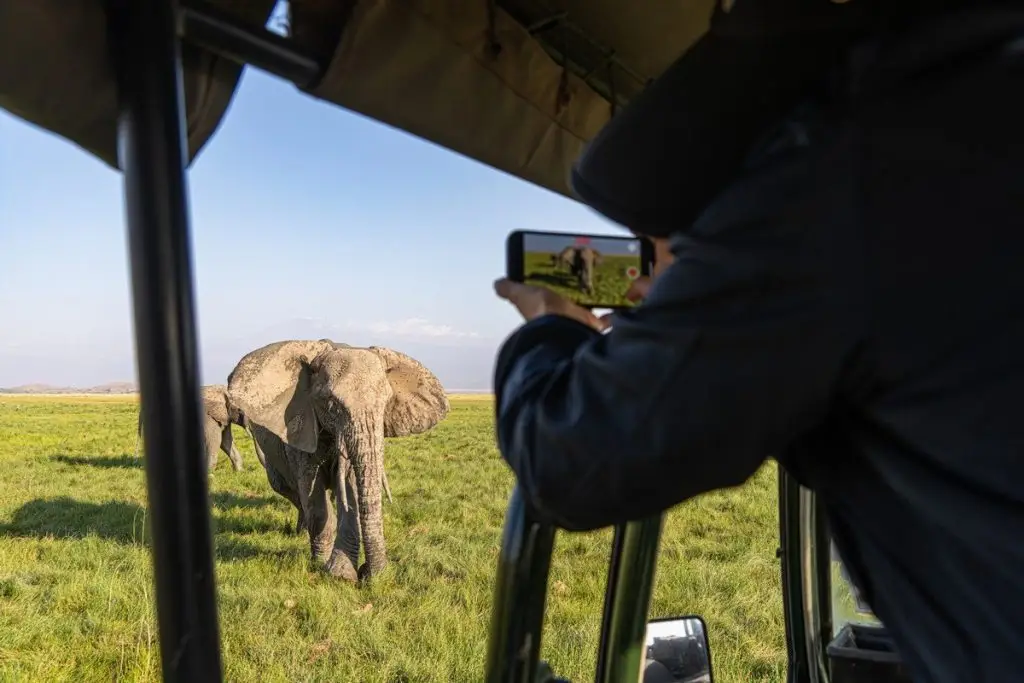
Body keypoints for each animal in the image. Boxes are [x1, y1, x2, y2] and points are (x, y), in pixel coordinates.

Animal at [226, 339, 449, 582]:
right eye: (331, 403)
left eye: (386, 403)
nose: (368, 572)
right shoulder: (300, 431)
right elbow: (314, 497)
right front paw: (322, 565)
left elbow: (351, 491)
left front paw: (342, 574)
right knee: (288, 490)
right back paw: (301, 532)